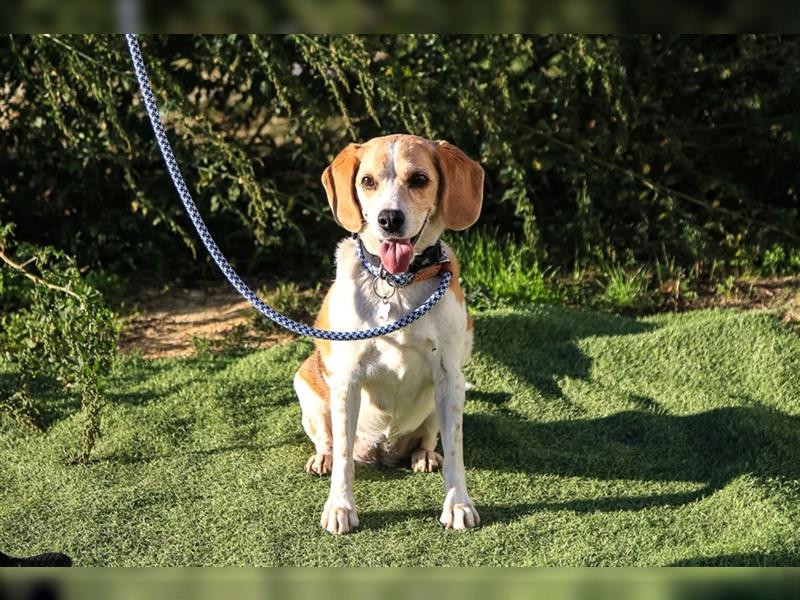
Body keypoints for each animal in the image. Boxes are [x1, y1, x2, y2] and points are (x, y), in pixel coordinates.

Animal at [292, 135, 482, 536]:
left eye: (420, 179)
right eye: (367, 181)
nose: (389, 219)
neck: (397, 284)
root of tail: (383, 451)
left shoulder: (449, 378)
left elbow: (456, 451)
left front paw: (458, 504)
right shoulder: (347, 381)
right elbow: (344, 456)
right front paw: (340, 507)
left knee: (429, 438)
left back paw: (424, 455)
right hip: (309, 391)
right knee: (331, 443)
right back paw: (323, 458)